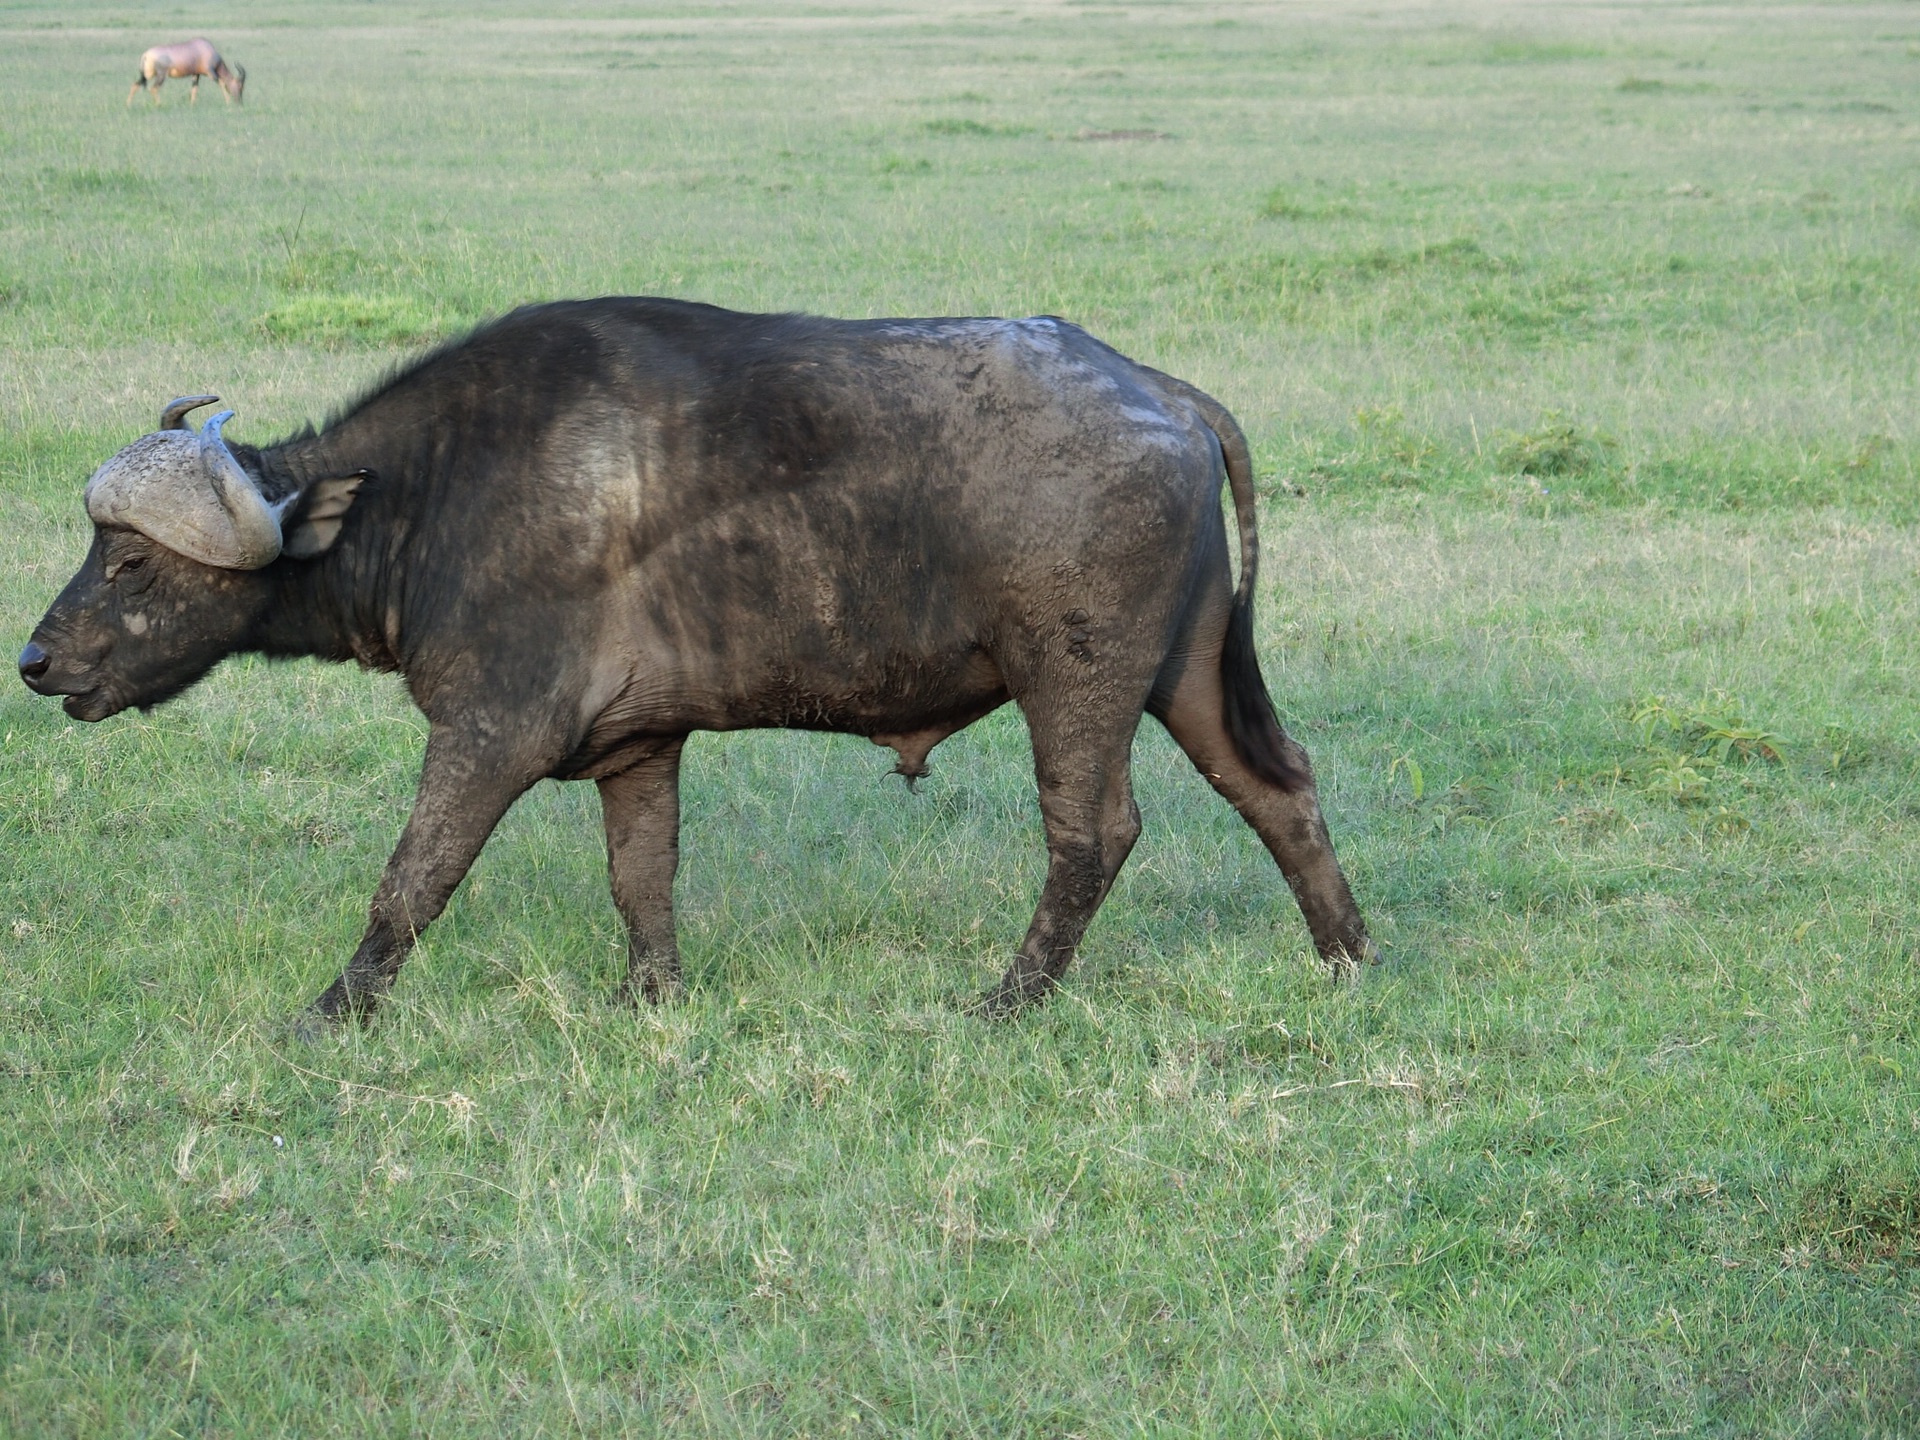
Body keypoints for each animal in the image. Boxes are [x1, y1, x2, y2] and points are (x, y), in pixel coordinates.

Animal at [15, 301, 1367, 1029]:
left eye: (128, 564)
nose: (33, 658)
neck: (434, 497)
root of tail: (1161, 393)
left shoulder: (490, 733)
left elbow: (410, 881)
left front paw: (331, 1014)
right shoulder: (638, 747)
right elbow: (641, 880)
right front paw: (650, 998)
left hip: (1074, 681)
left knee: (1093, 833)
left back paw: (1009, 997)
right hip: (1187, 674)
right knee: (1280, 788)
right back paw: (1348, 953)